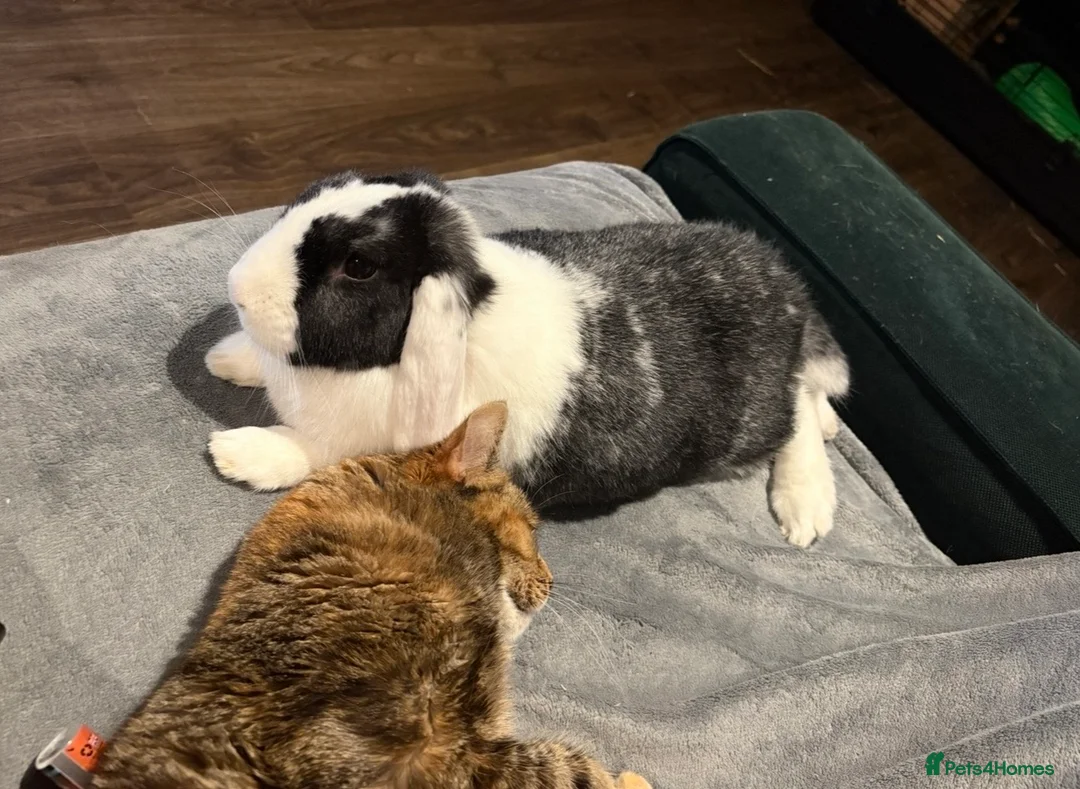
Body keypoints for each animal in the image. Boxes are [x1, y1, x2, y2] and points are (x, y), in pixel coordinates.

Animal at [205, 169, 849, 547]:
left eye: (358, 266)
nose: (236, 290)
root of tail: (786, 286)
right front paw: (225, 359)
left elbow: (312, 452)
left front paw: (237, 454)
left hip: (748, 423)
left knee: (797, 409)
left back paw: (806, 507)